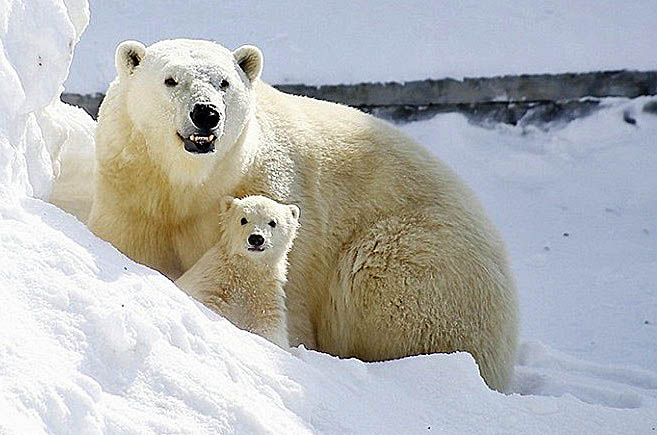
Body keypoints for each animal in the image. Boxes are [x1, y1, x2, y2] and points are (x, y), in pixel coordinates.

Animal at [88, 37, 516, 392]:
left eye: (224, 82)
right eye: (170, 80)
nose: (206, 114)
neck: (189, 186)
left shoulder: (272, 190)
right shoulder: (132, 196)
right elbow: (128, 247)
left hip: (424, 259)